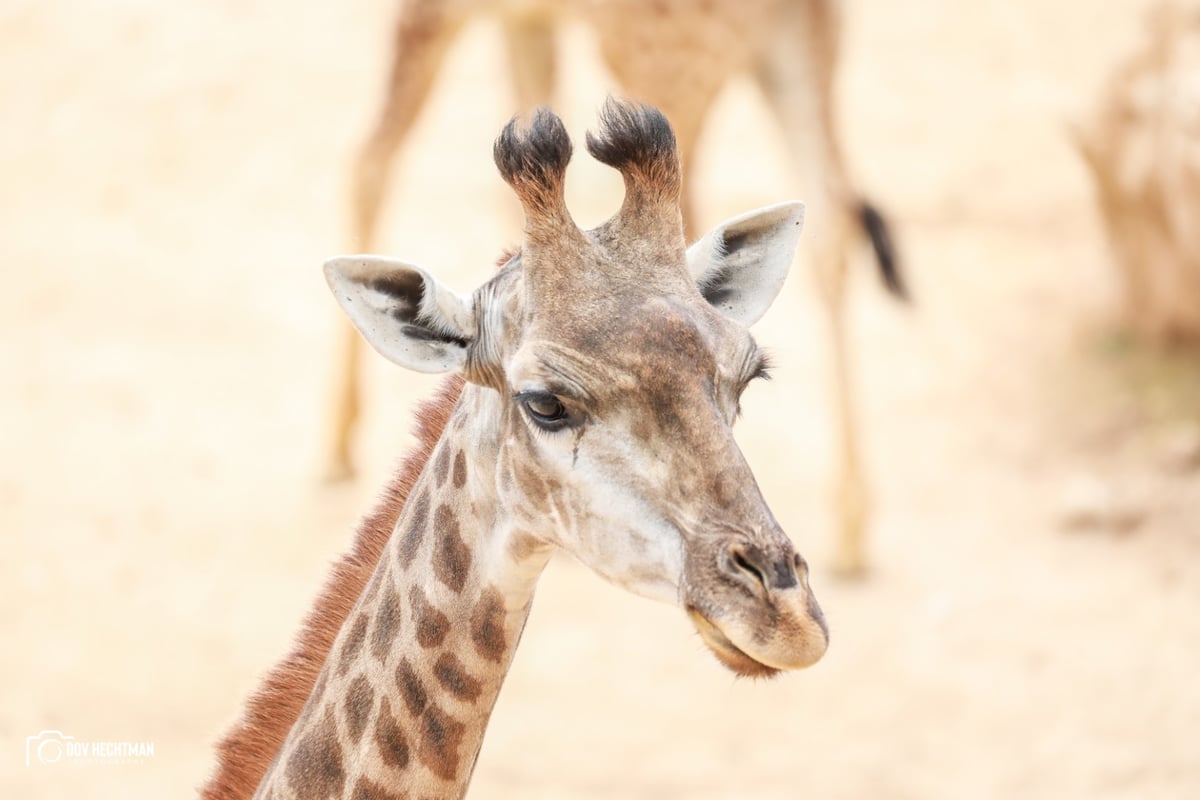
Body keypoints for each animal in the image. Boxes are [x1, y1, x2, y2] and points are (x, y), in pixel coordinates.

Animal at [324, 0, 902, 575]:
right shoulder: (526, 23)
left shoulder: (437, 11)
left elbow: (370, 164)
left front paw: (340, 441)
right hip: (795, 42)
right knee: (830, 224)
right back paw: (850, 530)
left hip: (665, 62)